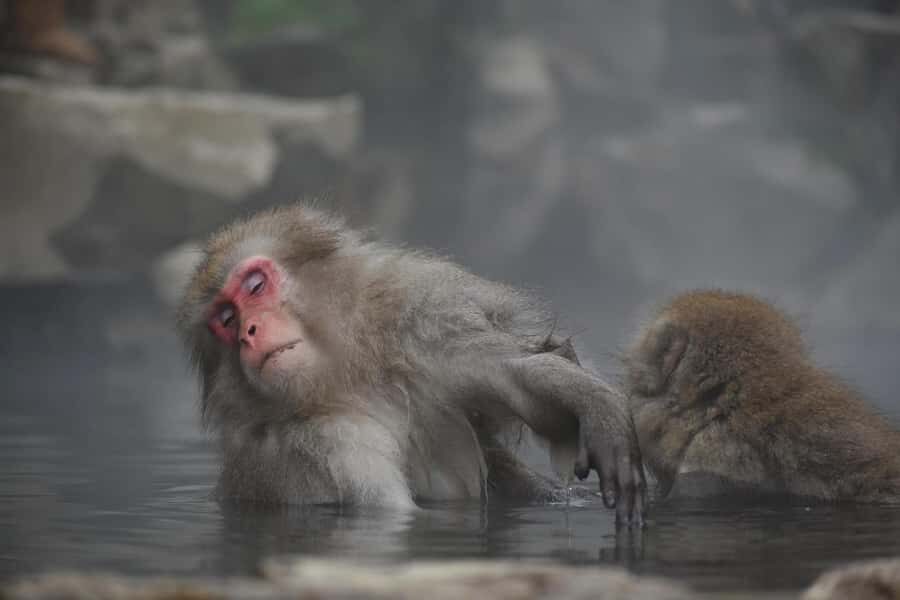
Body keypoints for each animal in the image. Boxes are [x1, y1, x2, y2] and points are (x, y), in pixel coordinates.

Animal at [177, 205, 645, 524]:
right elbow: (390, 512)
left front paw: (596, 406)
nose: (248, 332)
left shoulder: (418, 326)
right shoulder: (313, 445)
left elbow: (513, 375)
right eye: (226, 320)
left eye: (255, 286)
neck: (345, 378)